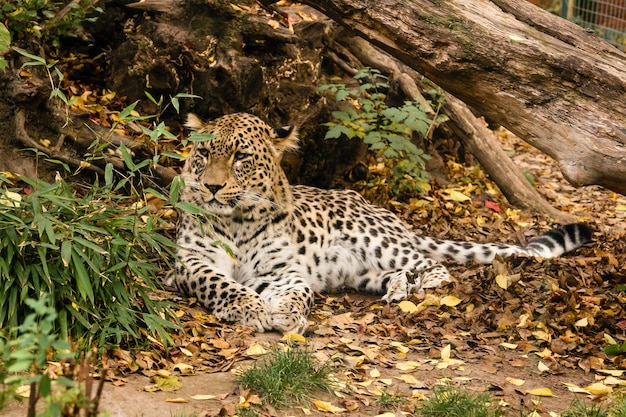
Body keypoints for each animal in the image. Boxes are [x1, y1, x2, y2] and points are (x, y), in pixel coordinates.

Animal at [169, 112, 588, 334]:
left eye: (240, 157)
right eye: (204, 153)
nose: (211, 187)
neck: (237, 222)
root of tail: (383, 212)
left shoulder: (282, 270)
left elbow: (297, 291)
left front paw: (286, 313)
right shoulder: (189, 263)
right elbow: (220, 283)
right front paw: (251, 308)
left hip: (373, 238)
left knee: (433, 264)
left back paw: (422, 286)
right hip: (359, 271)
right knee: (396, 273)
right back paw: (399, 289)